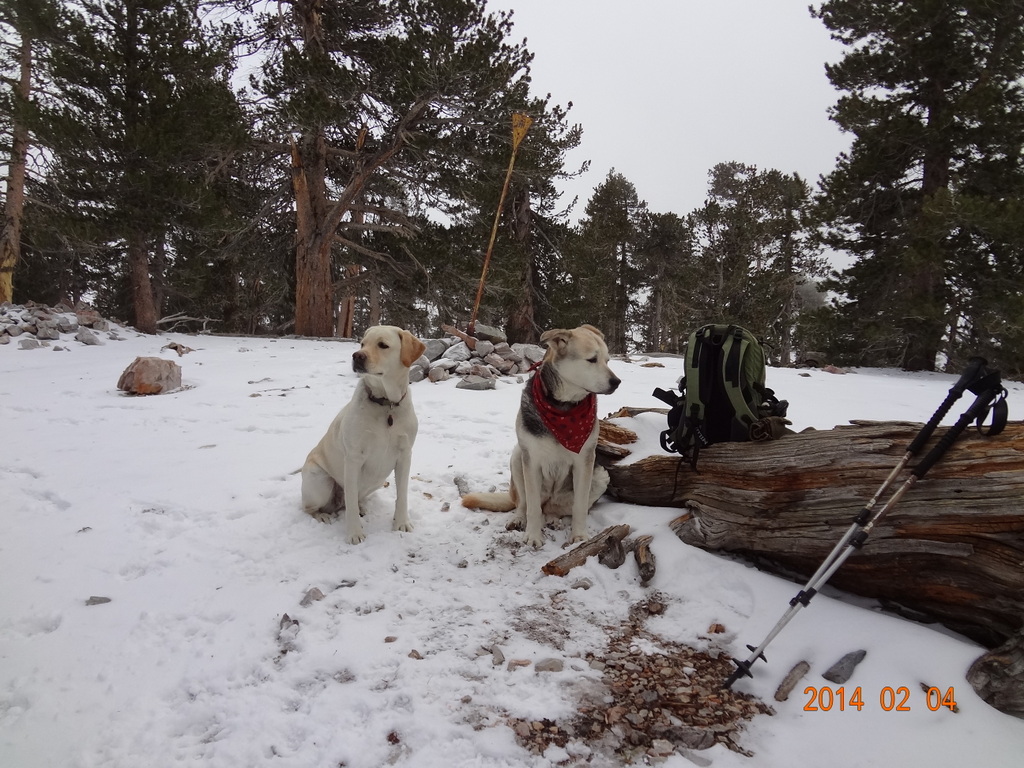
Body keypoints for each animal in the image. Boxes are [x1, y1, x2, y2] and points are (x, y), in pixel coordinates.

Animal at [299, 325, 423, 548]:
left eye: (382, 345)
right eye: (362, 344)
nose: (357, 356)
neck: (386, 404)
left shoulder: (405, 455)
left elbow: (402, 495)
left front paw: (401, 523)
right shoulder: (354, 457)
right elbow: (350, 505)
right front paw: (354, 533)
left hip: (377, 480)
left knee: (352, 501)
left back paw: (362, 507)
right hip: (320, 481)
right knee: (310, 507)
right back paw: (322, 515)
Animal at [462, 325, 618, 548]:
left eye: (607, 360)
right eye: (592, 359)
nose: (617, 382)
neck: (562, 408)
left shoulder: (584, 461)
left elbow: (579, 507)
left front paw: (579, 536)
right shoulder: (532, 461)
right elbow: (533, 507)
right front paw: (533, 536)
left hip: (600, 475)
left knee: (556, 509)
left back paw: (554, 519)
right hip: (518, 457)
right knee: (524, 504)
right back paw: (519, 519)